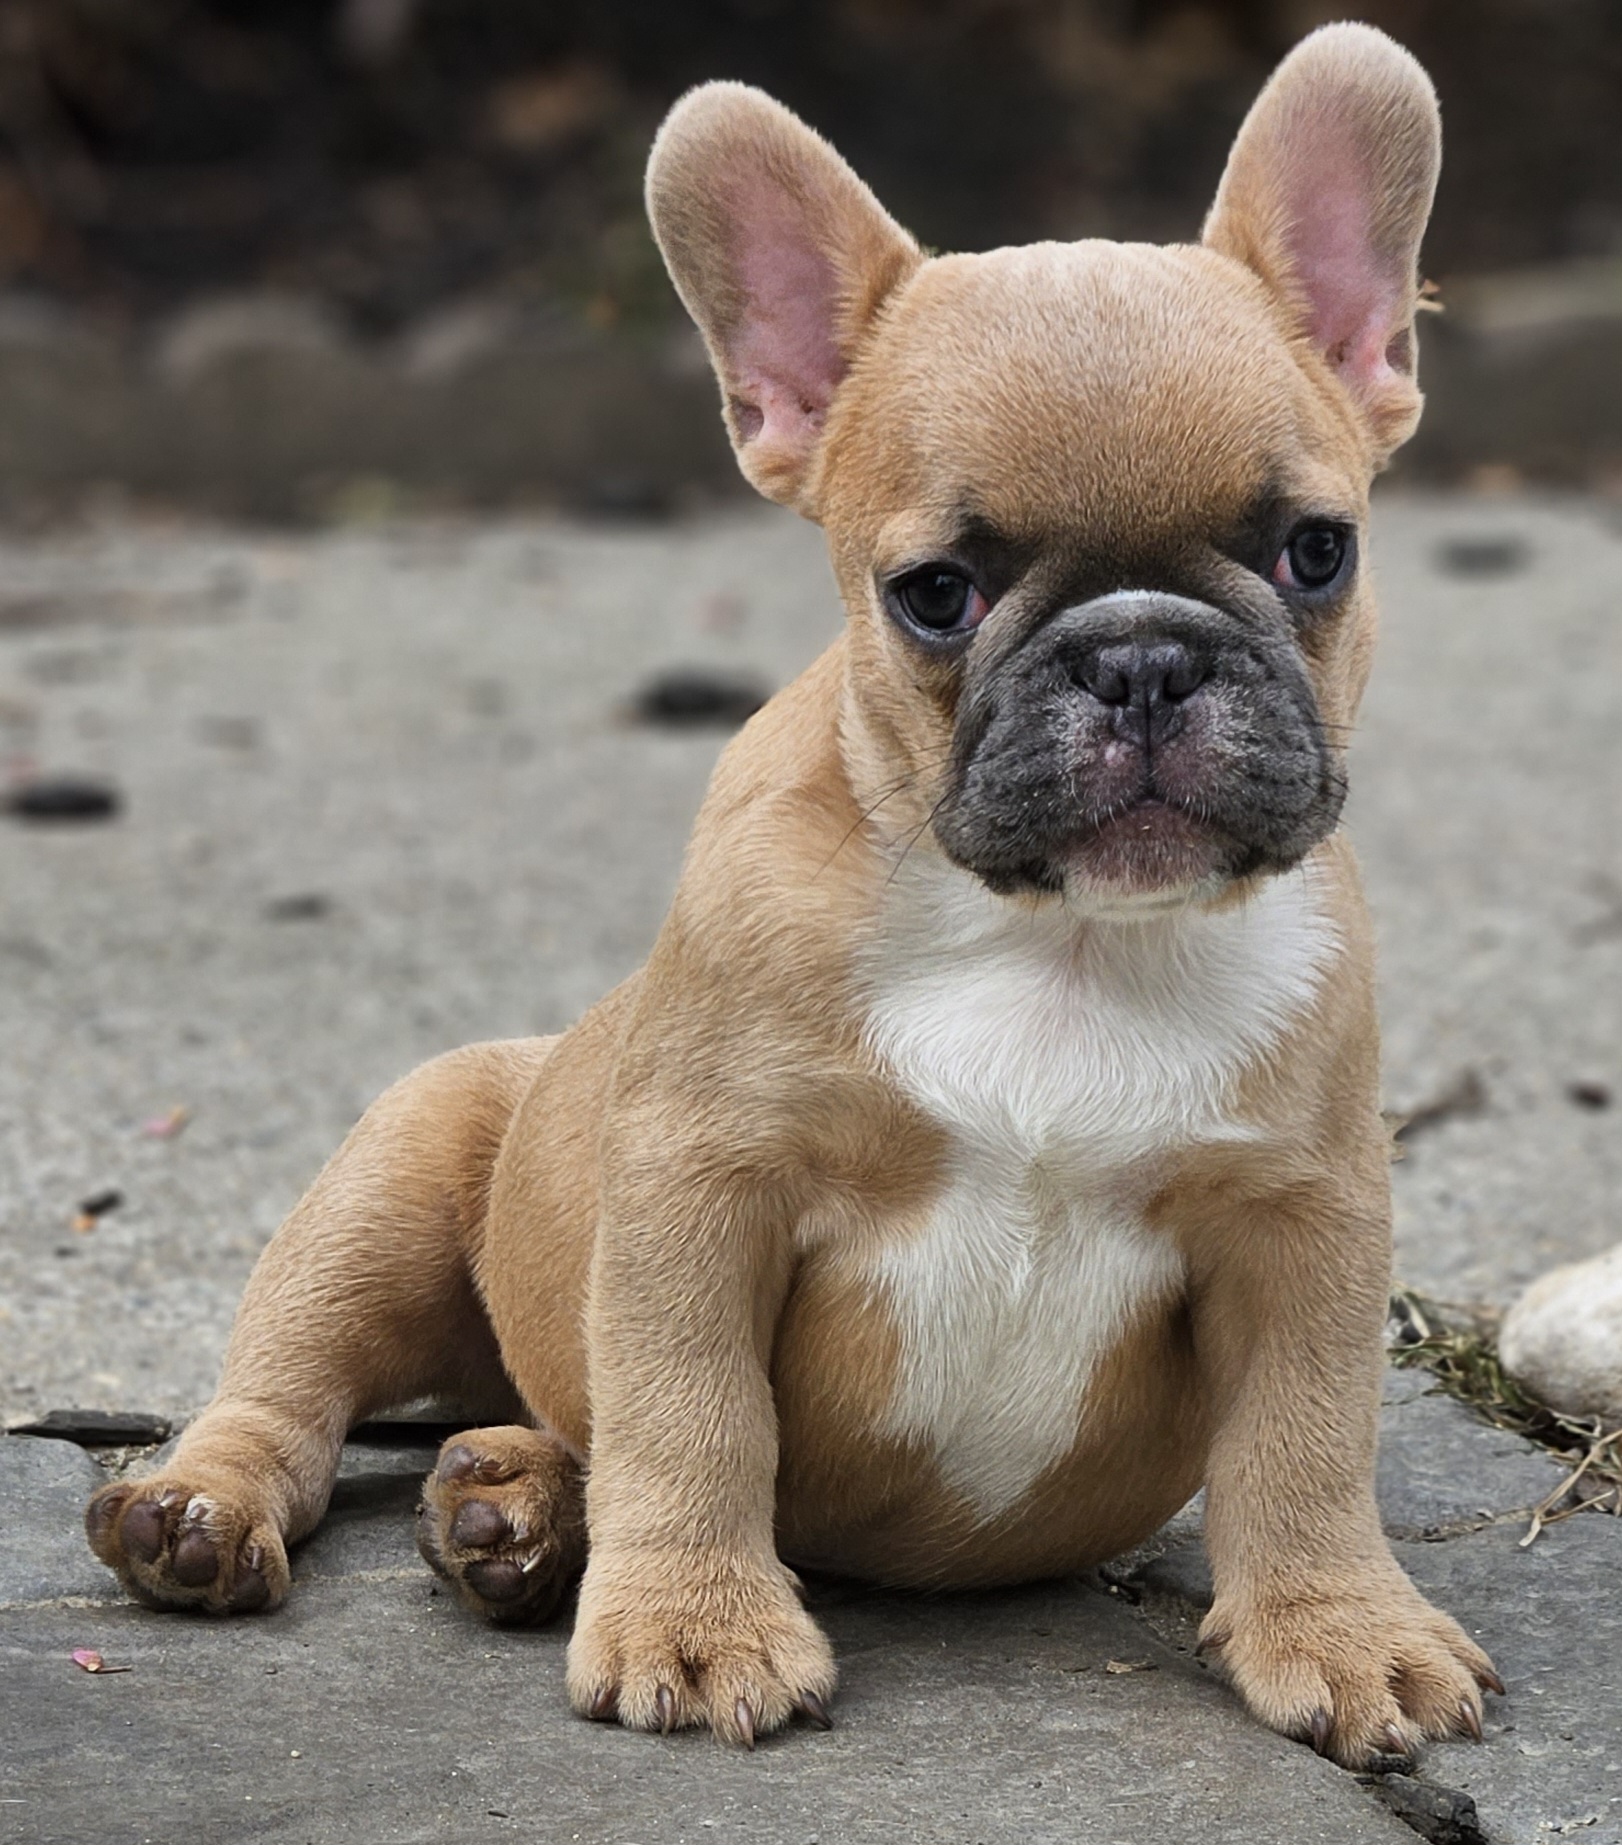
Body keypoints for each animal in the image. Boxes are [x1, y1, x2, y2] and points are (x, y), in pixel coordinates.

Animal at [85, 22, 1500, 1767]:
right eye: (934, 594)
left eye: (1316, 551)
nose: (1141, 654)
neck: (1061, 939)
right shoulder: (702, 1188)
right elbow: (695, 1414)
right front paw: (694, 1623)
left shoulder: (1300, 1218)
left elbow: (1304, 1444)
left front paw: (1341, 1627)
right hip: (393, 1176)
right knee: (296, 1382)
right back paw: (213, 1513)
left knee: (546, 1425)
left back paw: (514, 1508)